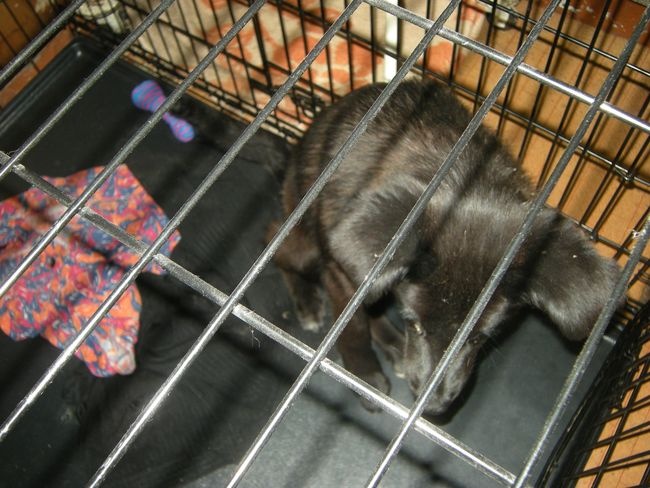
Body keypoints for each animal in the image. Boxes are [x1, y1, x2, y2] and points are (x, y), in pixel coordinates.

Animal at [268, 79, 620, 416]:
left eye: (478, 338)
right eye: (414, 323)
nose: (434, 407)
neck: (462, 174)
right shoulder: (339, 266)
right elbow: (352, 328)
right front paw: (363, 375)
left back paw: (392, 343)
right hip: (307, 244)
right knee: (274, 243)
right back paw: (307, 300)